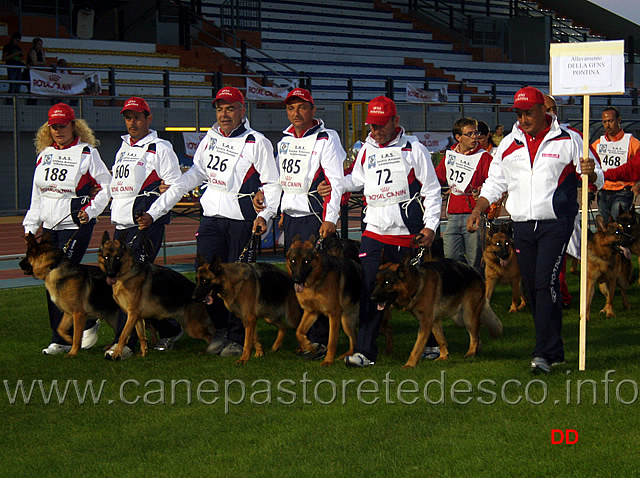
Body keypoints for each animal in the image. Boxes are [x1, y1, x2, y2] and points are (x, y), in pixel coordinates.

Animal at [288, 235, 362, 366]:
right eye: (293, 261)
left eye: (306, 261)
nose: (297, 280)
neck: (316, 280)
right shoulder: (311, 312)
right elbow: (299, 332)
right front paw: (310, 346)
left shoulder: (334, 315)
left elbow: (331, 341)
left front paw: (328, 361)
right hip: (346, 321)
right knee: (354, 340)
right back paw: (346, 356)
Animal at [372, 256, 502, 368]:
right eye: (375, 282)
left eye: (387, 283)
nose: (371, 298)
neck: (417, 284)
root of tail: (477, 273)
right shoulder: (433, 320)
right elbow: (441, 339)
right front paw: (444, 356)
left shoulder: (425, 322)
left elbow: (417, 347)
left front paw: (409, 364)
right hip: (460, 318)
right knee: (477, 333)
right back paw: (476, 350)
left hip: (467, 316)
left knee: (474, 335)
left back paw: (471, 353)